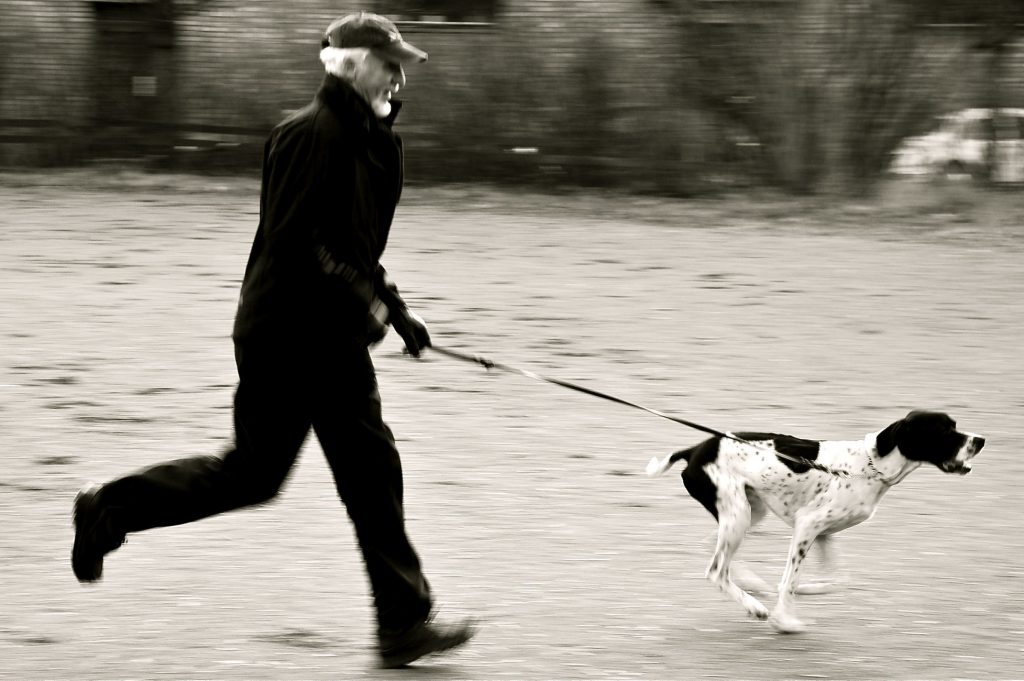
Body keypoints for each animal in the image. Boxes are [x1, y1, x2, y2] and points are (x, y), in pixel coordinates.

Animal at [647, 409, 983, 630]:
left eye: (954, 425)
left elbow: (838, 580)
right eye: (944, 430)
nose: (980, 440)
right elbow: (789, 581)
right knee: (716, 570)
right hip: (739, 516)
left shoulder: (824, 534)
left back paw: (752, 584)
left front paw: (810, 589)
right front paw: (784, 621)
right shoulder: (806, 526)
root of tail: (695, 449)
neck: (870, 467)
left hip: (747, 512)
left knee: (713, 550)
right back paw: (756, 607)